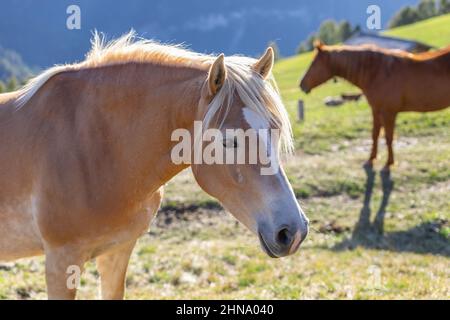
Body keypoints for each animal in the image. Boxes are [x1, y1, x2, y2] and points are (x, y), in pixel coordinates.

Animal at [0, 31, 308, 298]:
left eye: (276, 129)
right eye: (229, 140)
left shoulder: (118, 251)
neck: (95, 145)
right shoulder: (61, 260)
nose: (293, 232)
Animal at [298, 41, 450, 170]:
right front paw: (371, 158)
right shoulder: (376, 110)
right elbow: (375, 134)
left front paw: (389, 162)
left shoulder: (389, 112)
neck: (378, 72)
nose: (301, 84)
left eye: (313, 63)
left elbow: (388, 137)